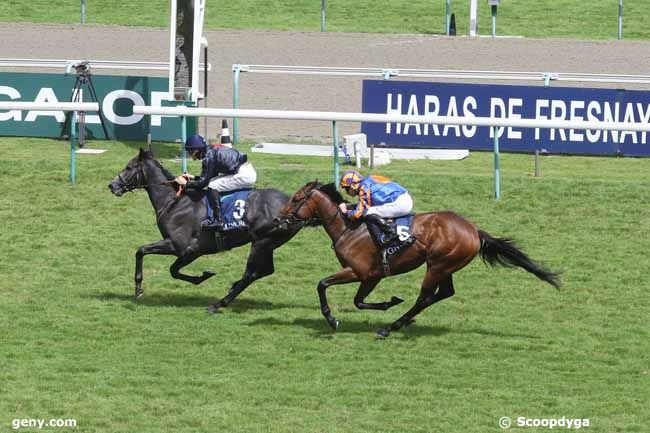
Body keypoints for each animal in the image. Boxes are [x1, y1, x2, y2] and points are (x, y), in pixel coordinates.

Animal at [108, 148, 302, 310]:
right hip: (269, 243)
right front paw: (202, 277)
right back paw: (231, 288)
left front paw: (138, 288)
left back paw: (220, 303)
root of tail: (294, 204)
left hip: (261, 243)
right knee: (265, 271)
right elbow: (173, 270)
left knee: (250, 273)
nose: (112, 185)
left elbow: (143, 252)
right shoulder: (193, 251)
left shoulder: (182, 247)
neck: (175, 202)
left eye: (129, 167)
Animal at [276, 181, 560, 336]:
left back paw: (390, 328)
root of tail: (473, 230)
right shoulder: (372, 276)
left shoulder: (359, 271)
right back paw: (404, 320)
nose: (279, 218)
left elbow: (322, 285)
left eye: (296, 198)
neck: (348, 228)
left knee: (425, 297)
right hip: (445, 266)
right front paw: (389, 302)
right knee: (444, 293)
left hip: (437, 265)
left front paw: (332, 319)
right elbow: (359, 301)